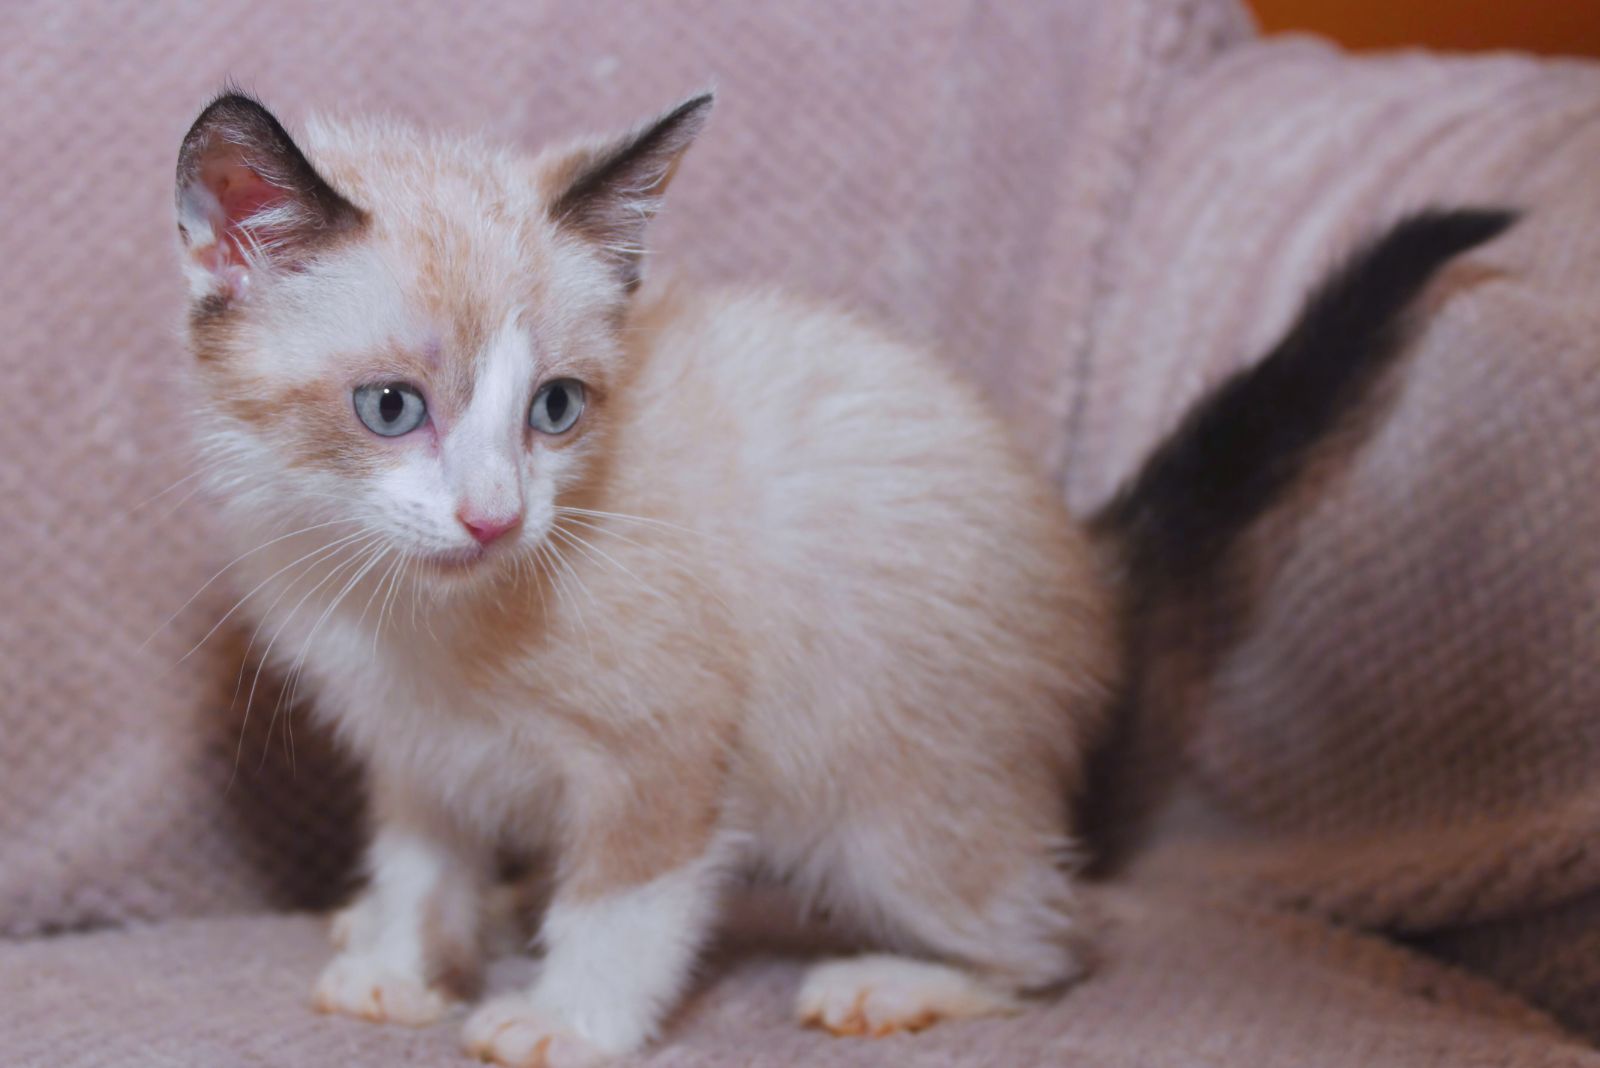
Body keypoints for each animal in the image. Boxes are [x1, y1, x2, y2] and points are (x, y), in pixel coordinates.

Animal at [175, 85, 1510, 1068]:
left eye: (555, 408)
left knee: (1057, 943)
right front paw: (402, 966)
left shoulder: (666, 742)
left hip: (896, 818)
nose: (496, 516)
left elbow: (625, 898)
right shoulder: (412, 754)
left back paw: (894, 984)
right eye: (391, 408)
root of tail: (1080, 552)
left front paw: (570, 1021)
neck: (409, 611)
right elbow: (418, 861)